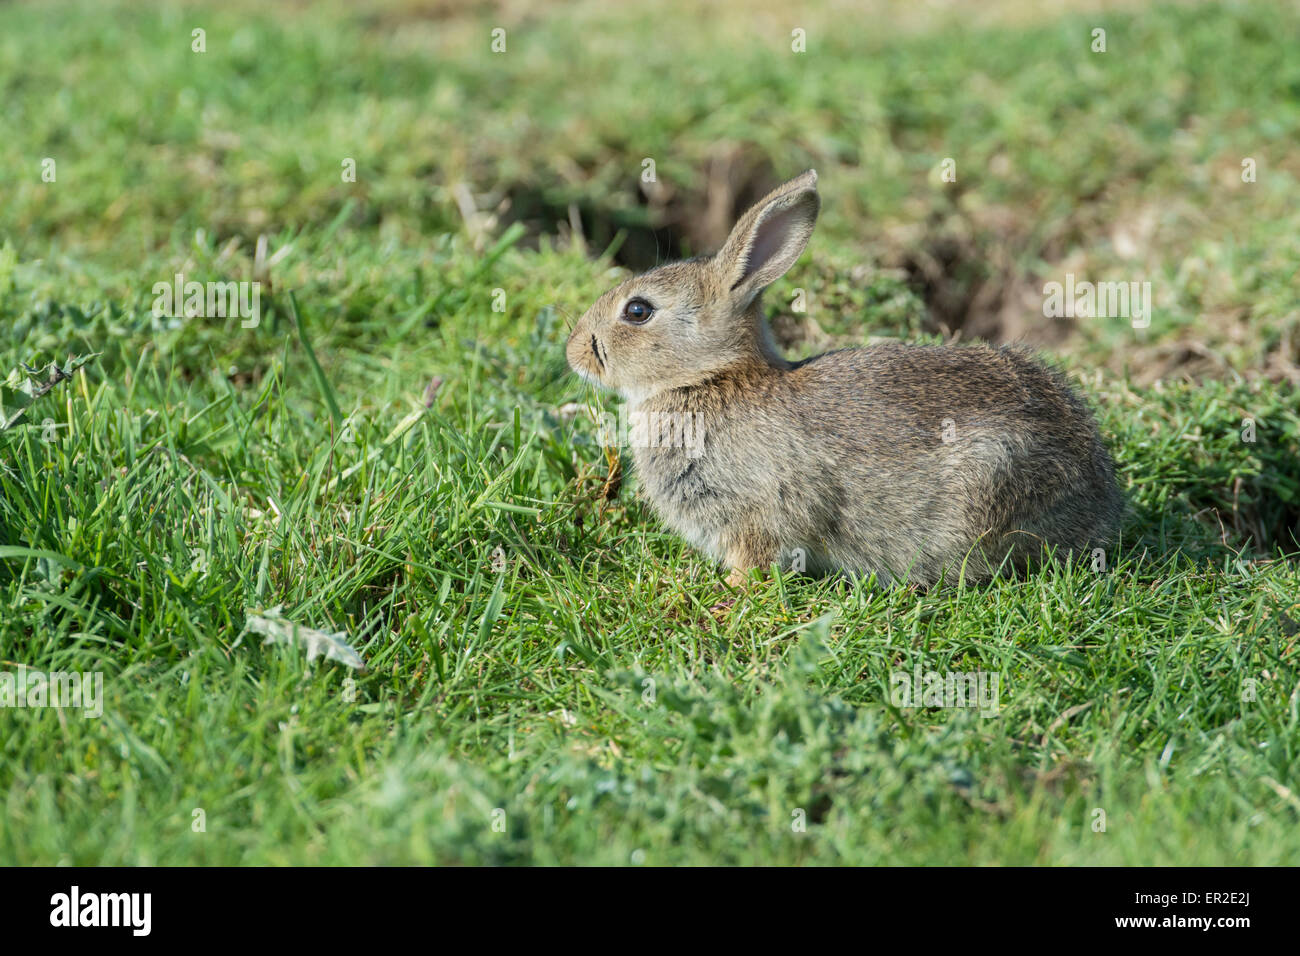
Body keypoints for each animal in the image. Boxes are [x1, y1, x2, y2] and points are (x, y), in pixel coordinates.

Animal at [566, 169, 1124, 588]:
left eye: (638, 311)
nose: (573, 352)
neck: (712, 379)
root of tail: (1101, 496)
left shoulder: (760, 515)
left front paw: (729, 591)